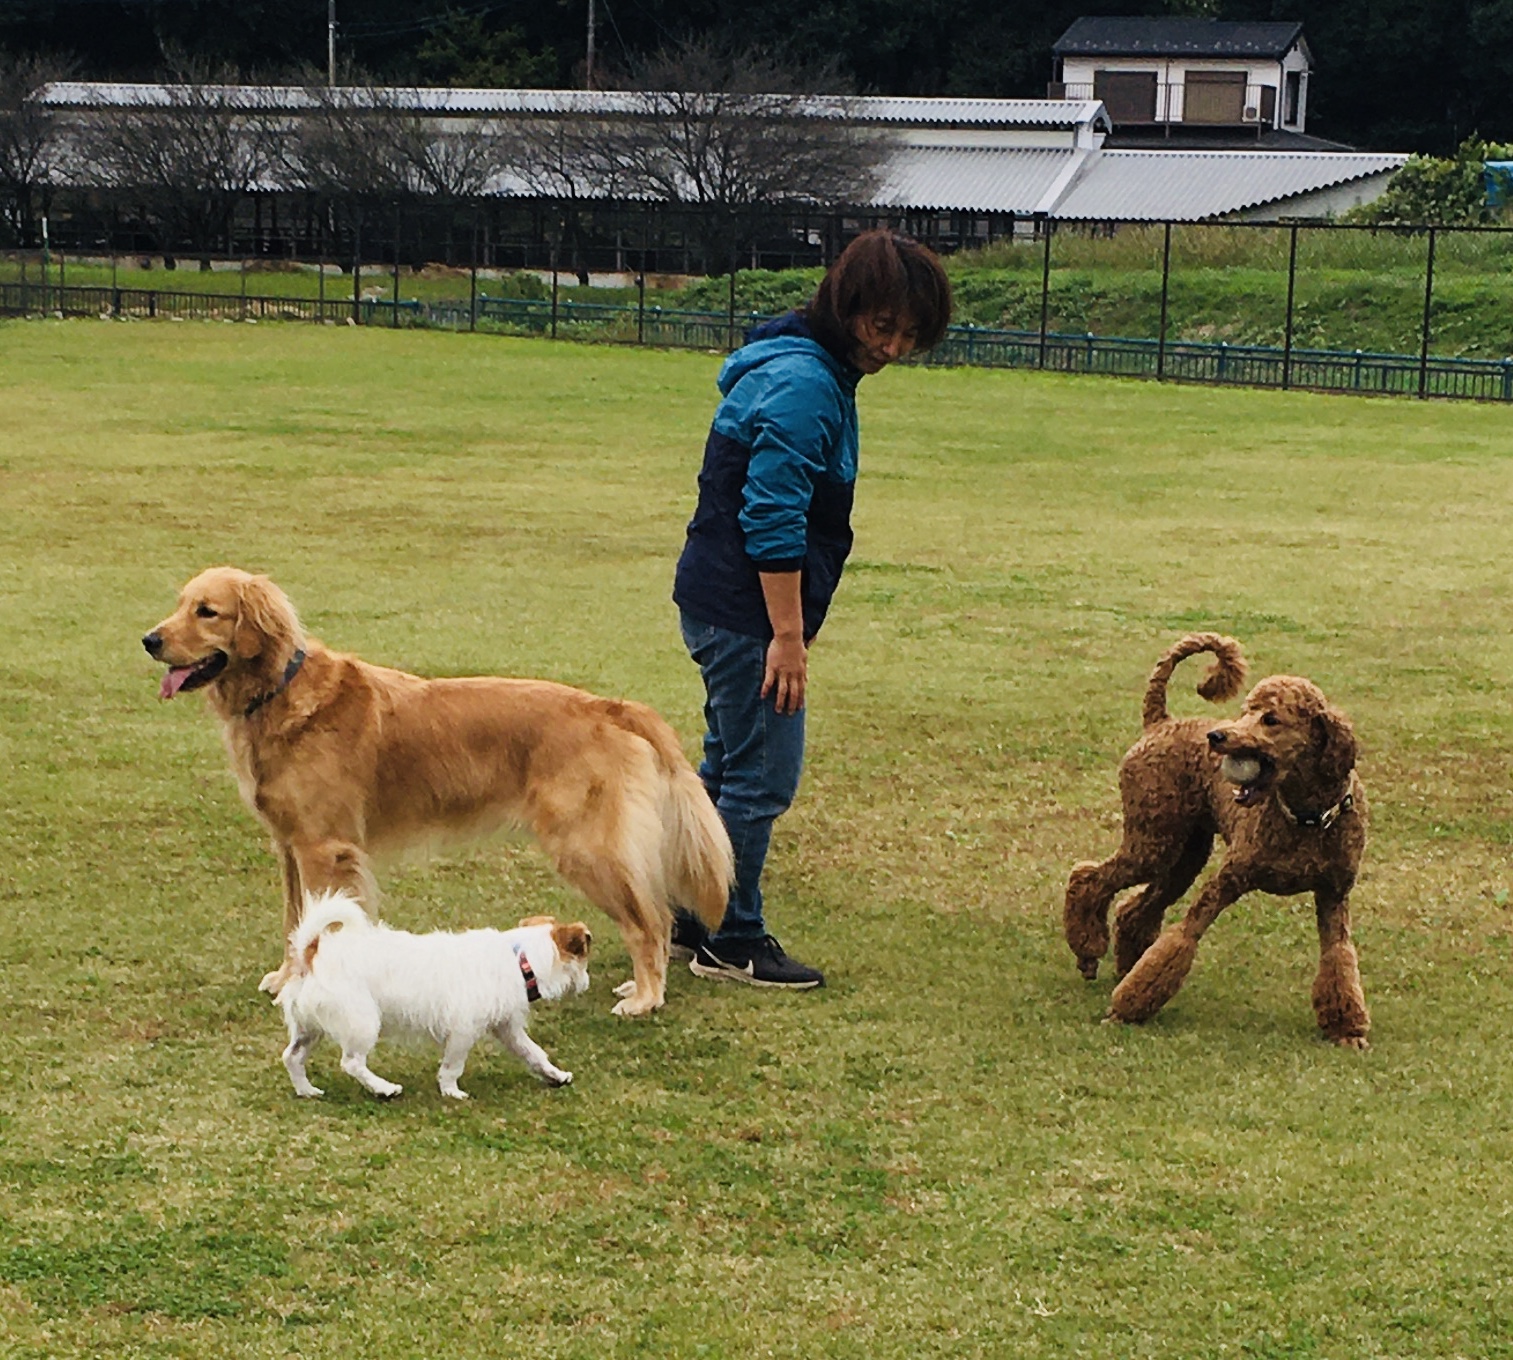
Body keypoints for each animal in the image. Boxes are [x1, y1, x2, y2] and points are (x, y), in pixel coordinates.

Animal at [143, 566, 732, 1016]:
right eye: (179, 604)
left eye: (207, 611)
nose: (149, 640)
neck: (279, 694)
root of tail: (607, 706)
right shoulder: (290, 847)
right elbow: (295, 922)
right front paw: (287, 975)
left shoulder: (324, 848)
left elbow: (316, 927)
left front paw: (304, 983)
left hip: (587, 847)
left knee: (649, 922)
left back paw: (646, 997)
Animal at [278, 891, 590, 1099]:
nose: (586, 983)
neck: (519, 958)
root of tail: (312, 951)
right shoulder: (463, 1032)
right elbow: (453, 1066)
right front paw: (451, 1091)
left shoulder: (507, 1029)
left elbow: (533, 1053)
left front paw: (555, 1074)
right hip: (362, 1022)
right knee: (352, 1063)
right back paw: (384, 1088)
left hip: (309, 1028)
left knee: (292, 1057)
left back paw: (306, 1090)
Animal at [1062, 632, 1370, 1047]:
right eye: (1245, 711)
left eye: (1271, 719)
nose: (1217, 736)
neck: (1306, 818)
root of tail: (1160, 723)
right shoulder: (1225, 883)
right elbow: (1181, 939)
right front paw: (1126, 1009)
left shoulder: (1333, 897)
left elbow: (1338, 962)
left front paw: (1347, 1030)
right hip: (1152, 843)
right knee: (1088, 878)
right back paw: (1089, 950)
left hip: (1183, 856)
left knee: (1132, 910)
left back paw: (1124, 967)